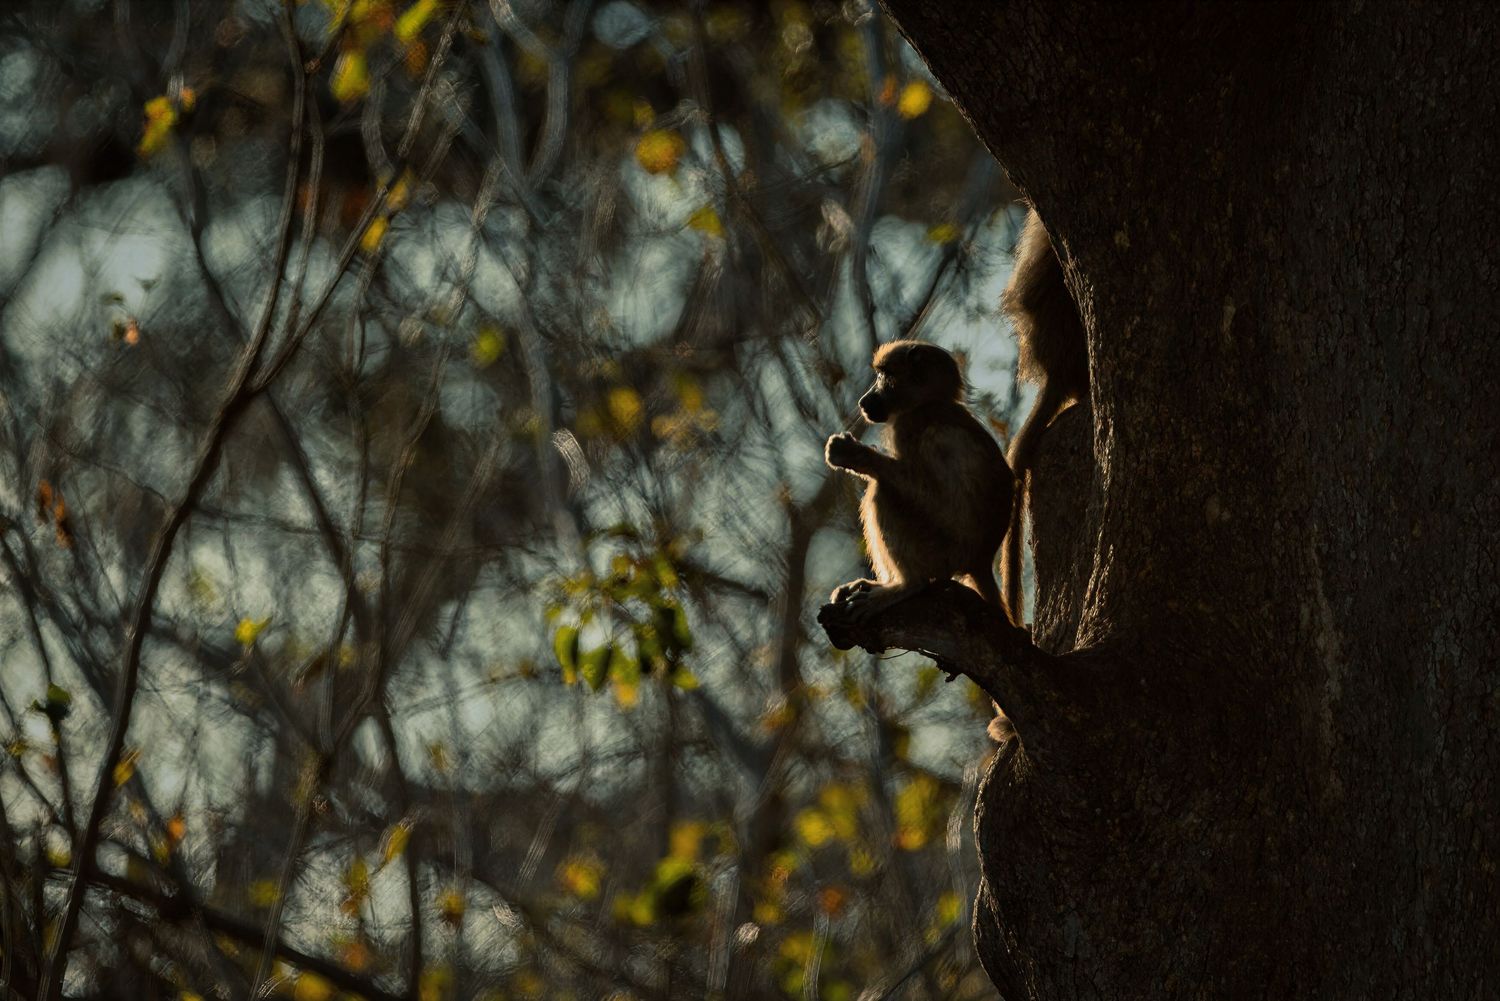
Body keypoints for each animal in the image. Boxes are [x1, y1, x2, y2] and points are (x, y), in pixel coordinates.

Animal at [824, 340, 1015, 625]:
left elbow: (925, 492)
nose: (863, 400)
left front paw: (854, 455)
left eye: (884, 376)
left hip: (941, 554)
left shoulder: (907, 426)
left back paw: (908, 585)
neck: (928, 402)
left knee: (883, 491)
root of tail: (979, 560)